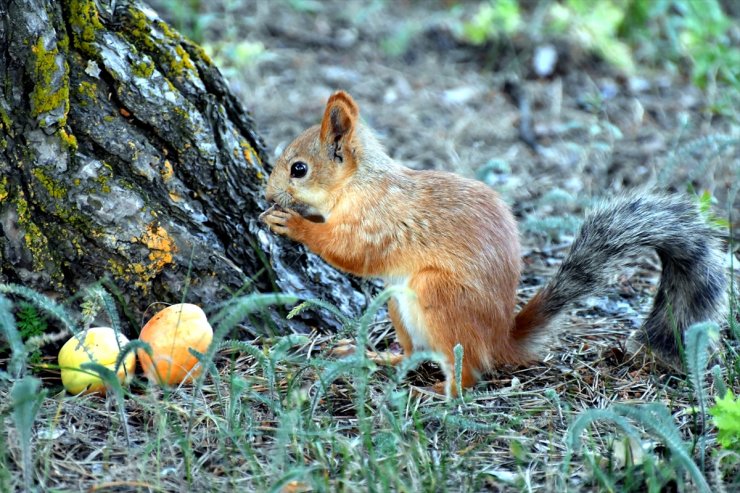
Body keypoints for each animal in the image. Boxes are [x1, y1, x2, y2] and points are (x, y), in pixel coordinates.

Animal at [262, 90, 728, 394]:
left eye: (299, 168)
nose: (267, 195)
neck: (359, 183)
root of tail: (502, 337)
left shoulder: (377, 221)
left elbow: (349, 252)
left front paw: (293, 224)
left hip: (438, 295)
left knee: (468, 371)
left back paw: (441, 393)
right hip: (398, 304)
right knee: (415, 353)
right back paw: (381, 357)